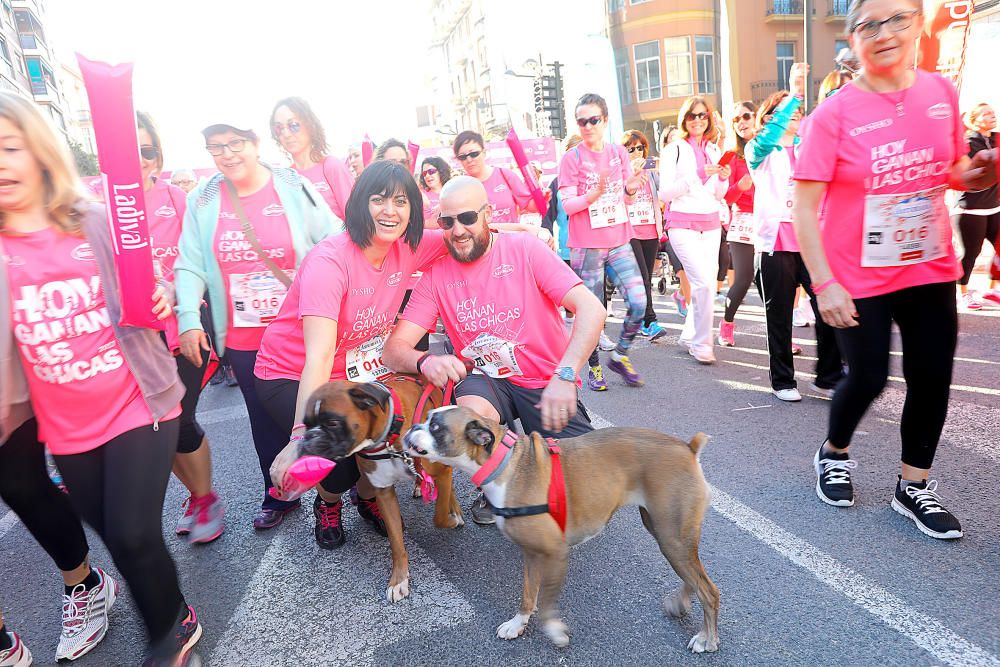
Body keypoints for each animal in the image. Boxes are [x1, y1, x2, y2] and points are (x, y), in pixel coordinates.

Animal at [272, 378, 462, 604]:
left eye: (332, 423)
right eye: (306, 424)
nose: (309, 438)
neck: (388, 439)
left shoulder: (441, 472)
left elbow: (439, 516)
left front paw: (452, 517)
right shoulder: (384, 493)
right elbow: (396, 542)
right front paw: (398, 579)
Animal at [402, 404, 724, 656]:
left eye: (435, 426)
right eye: (427, 418)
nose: (411, 426)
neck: (503, 463)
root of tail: (687, 448)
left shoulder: (556, 553)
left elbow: (546, 603)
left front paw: (555, 631)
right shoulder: (532, 554)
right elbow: (528, 594)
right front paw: (518, 624)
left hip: (672, 538)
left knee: (708, 589)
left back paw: (706, 639)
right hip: (666, 534)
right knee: (693, 576)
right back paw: (681, 602)